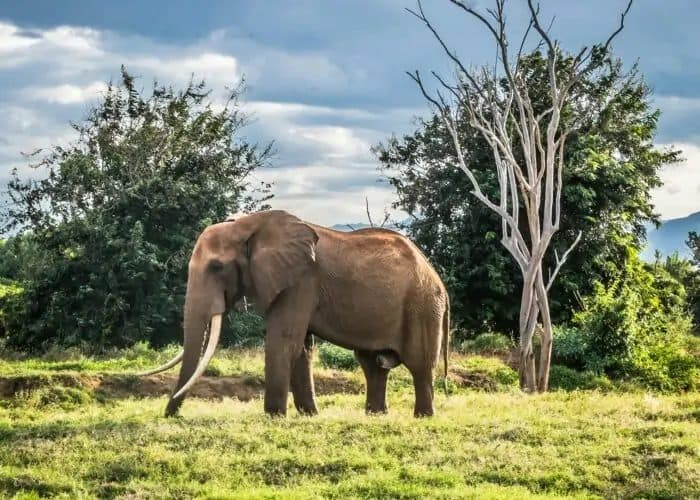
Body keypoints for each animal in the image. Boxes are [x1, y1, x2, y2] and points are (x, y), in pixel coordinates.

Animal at [141, 209, 450, 418]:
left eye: (217, 267)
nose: (171, 415)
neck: (248, 225)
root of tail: (438, 279)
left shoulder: (300, 281)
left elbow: (284, 340)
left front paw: (274, 417)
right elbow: (300, 348)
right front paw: (309, 416)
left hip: (422, 306)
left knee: (420, 364)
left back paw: (422, 417)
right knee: (372, 365)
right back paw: (375, 415)